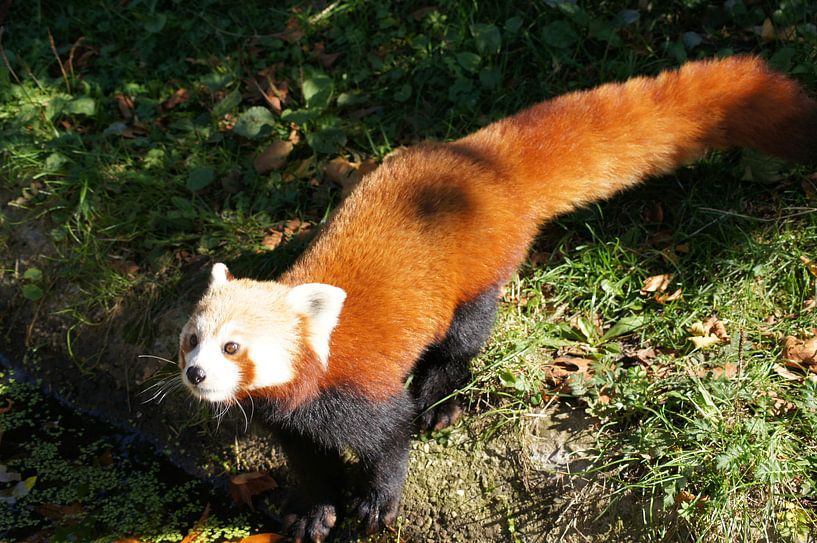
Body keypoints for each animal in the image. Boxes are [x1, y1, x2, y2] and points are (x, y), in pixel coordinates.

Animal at [178, 57, 816, 540]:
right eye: (191, 339)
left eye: (233, 347)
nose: (194, 374)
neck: (299, 393)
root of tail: (483, 160)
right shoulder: (291, 421)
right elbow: (309, 465)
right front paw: (312, 510)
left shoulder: (355, 392)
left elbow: (391, 437)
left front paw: (377, 501)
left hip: (478, 277)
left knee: (462, 340)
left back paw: (441, 398)